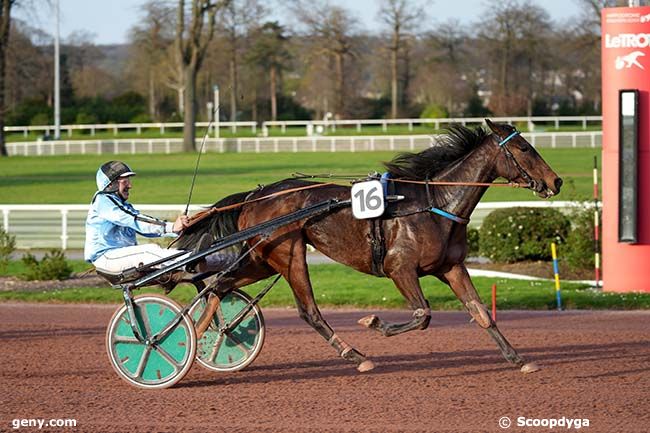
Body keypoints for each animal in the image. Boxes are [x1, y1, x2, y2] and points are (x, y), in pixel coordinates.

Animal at [173, 120, 560, 372]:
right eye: (524, 148)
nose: (556, 181)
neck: (433, 204)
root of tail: (255, 194)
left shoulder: (451, 267)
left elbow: (481, 312)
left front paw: (518, 359)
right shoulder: (400, 269)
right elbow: (423, 315)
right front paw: (375, 323)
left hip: (262, 259)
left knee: (219, 286)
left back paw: (195, 339)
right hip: (287, 255)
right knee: (307, 311)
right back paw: (355, 356)